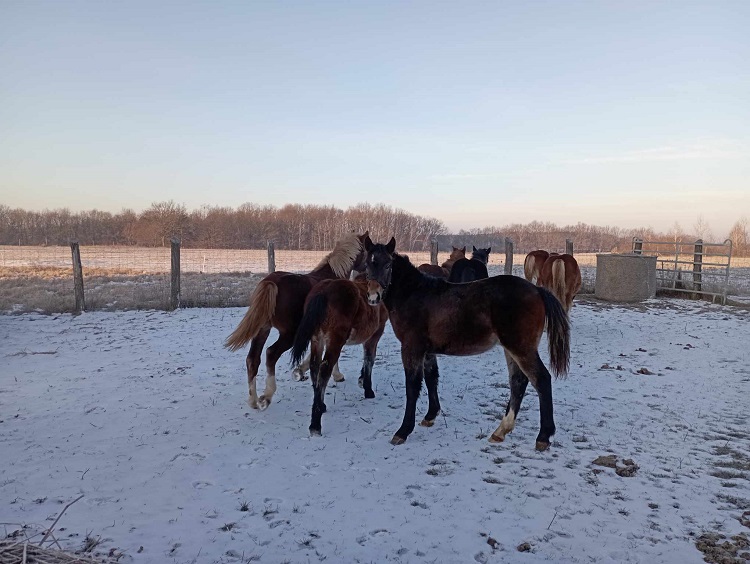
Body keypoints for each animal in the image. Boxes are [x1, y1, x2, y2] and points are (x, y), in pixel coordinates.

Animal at [226, 232, 374, 410]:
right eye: (367, 251)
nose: (369, 273)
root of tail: (271, 282)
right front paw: (335, 375)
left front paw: (302, 372)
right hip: (288, 334)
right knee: (270, 354)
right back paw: (267, 396)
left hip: (262, 330)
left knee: (253, 359)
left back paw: (253, 401)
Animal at [290, 274, 390, 436]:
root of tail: (323, 292)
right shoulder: (375, 334)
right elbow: (369, 359)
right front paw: (368, 389)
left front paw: (361, 379)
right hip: (335, 340)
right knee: (324, 369)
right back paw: (315, 425)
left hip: (317, 339)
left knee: (315, 367)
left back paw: (321, 405)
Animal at [364, 236, 568, 452]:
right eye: (368, 264)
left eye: (388, 265)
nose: (373, 296)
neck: (415, 294)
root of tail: (537, 290)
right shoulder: (427, 351)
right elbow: (431, 378)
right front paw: (430, 416)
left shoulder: (411, 348)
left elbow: (412, 387)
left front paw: (403, 431)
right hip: (512, 349)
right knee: (518, 382)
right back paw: (501, 431)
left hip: (521, 348)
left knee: (542, 380)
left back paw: (543, 437)